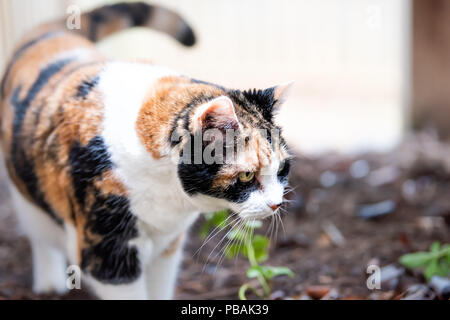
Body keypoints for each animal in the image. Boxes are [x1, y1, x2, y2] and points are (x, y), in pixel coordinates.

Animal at [0, 1, 292, 298]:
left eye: (282, 168)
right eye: (246, 175)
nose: (276, 204)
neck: (168, 192)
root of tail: (53, 36)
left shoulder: (168, 247)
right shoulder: (109, 252)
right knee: (40, 233)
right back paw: (49, 282)